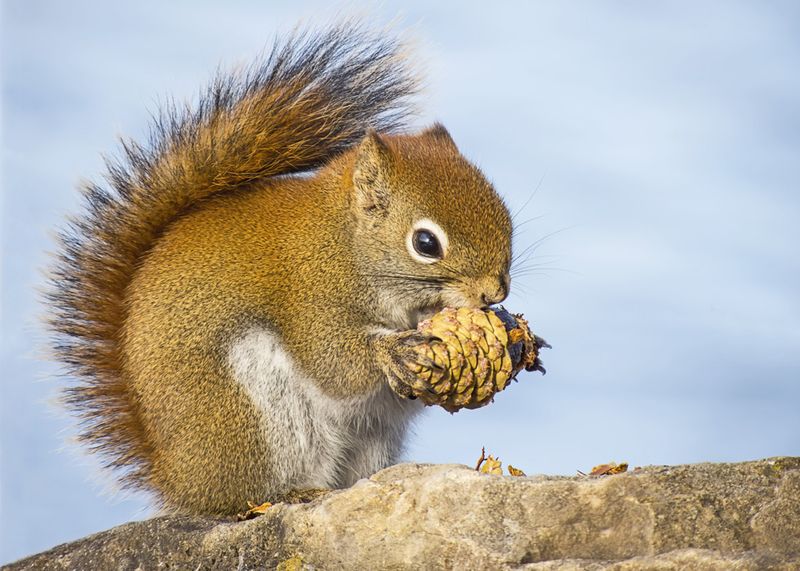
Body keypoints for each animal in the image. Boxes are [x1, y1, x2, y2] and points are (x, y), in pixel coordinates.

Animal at [48, 24, 512, 516]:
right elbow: (334, 363)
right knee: (248, 495)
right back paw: (292, 493)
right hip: (258, 418)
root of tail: (178, 481)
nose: (494, 294)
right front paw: (394, 350)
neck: (344, 244)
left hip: (372, 437)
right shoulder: (309, 299)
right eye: (426, 243)